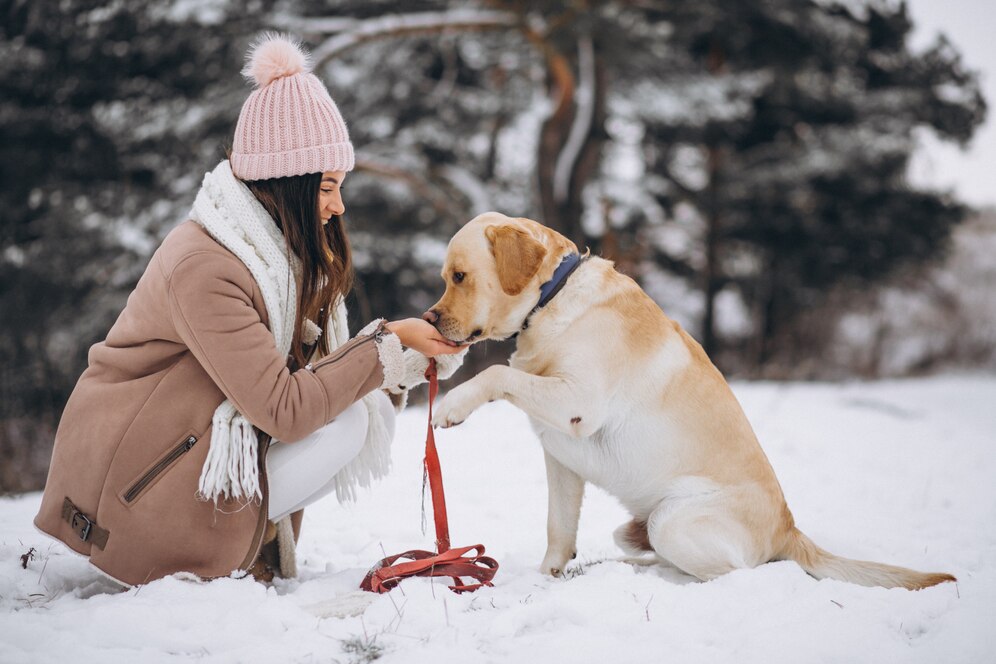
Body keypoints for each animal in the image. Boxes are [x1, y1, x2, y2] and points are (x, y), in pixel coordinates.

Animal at [428, 210, 956, 588]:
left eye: (460, 276)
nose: (430, 319)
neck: (551, 300)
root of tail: (790, 530)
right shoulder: (560, 460)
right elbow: (558, 529)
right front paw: (545, 580)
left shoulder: (579, 402)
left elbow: (496, 372)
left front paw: (452, 406)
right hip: (641, 527)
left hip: (671, 522)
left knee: (738, 574)